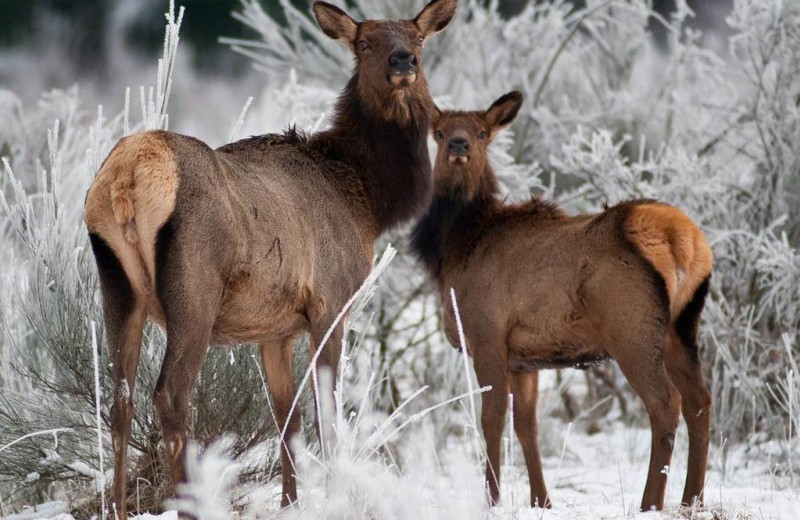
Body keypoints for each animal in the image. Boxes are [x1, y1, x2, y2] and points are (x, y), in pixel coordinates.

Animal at [85, 0, 460, 512]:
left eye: (417, 37)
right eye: (364, 43)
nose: (404, 61)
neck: (367, 198)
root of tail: (127, 177)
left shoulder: (274, 328)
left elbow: (286, 417)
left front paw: (290, 503)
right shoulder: (330, 301)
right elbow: (327, 412)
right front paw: (334, 497)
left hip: (118, 284)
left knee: (119, 399)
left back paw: (120, 510)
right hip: (194, 288)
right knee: (169, 397)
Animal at [412, 92, 712, 512]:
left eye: (482, 132)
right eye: (438, 132)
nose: (459, 145)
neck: (453, 248)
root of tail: (680, 239)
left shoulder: (486, 333)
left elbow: (492, 418)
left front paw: (491, 498)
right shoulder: (522, 357)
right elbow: (527, 424)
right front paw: (542, 501)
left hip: (632, 328)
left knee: (665, 402)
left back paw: (650, 503)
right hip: (683, 326)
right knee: (700, 401)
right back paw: (692, 501)